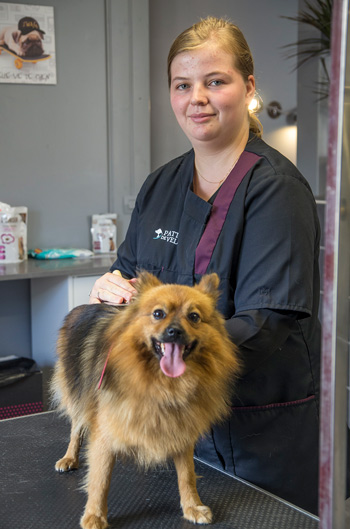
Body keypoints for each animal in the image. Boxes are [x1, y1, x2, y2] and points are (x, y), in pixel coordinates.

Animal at [50, 272, 239, 528]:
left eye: (194, 317)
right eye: (158, 314)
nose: (174, 331)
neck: (161, 383)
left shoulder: (181, 427)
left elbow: (187, 474)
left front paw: (192, 506)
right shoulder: (104, 432)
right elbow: (100, 479)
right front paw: (94, 515)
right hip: (77, 393)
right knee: (76, 429)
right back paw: (70, 457)